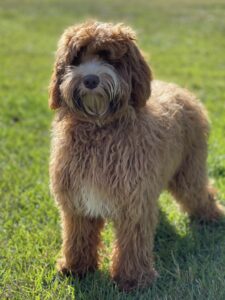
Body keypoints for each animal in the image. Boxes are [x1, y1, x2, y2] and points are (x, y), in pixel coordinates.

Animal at [48, 20, 223, 290]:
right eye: (76, 58)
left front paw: (133, 280)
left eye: (109, 57)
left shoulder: (133, 202)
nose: (90, 80)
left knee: (200, 193)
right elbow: (77, 237)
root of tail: (180, 90)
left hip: (188, 169)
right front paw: (76, 268)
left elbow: (132, 243)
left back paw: (213, 217)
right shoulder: (77, 202)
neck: (99, 129)